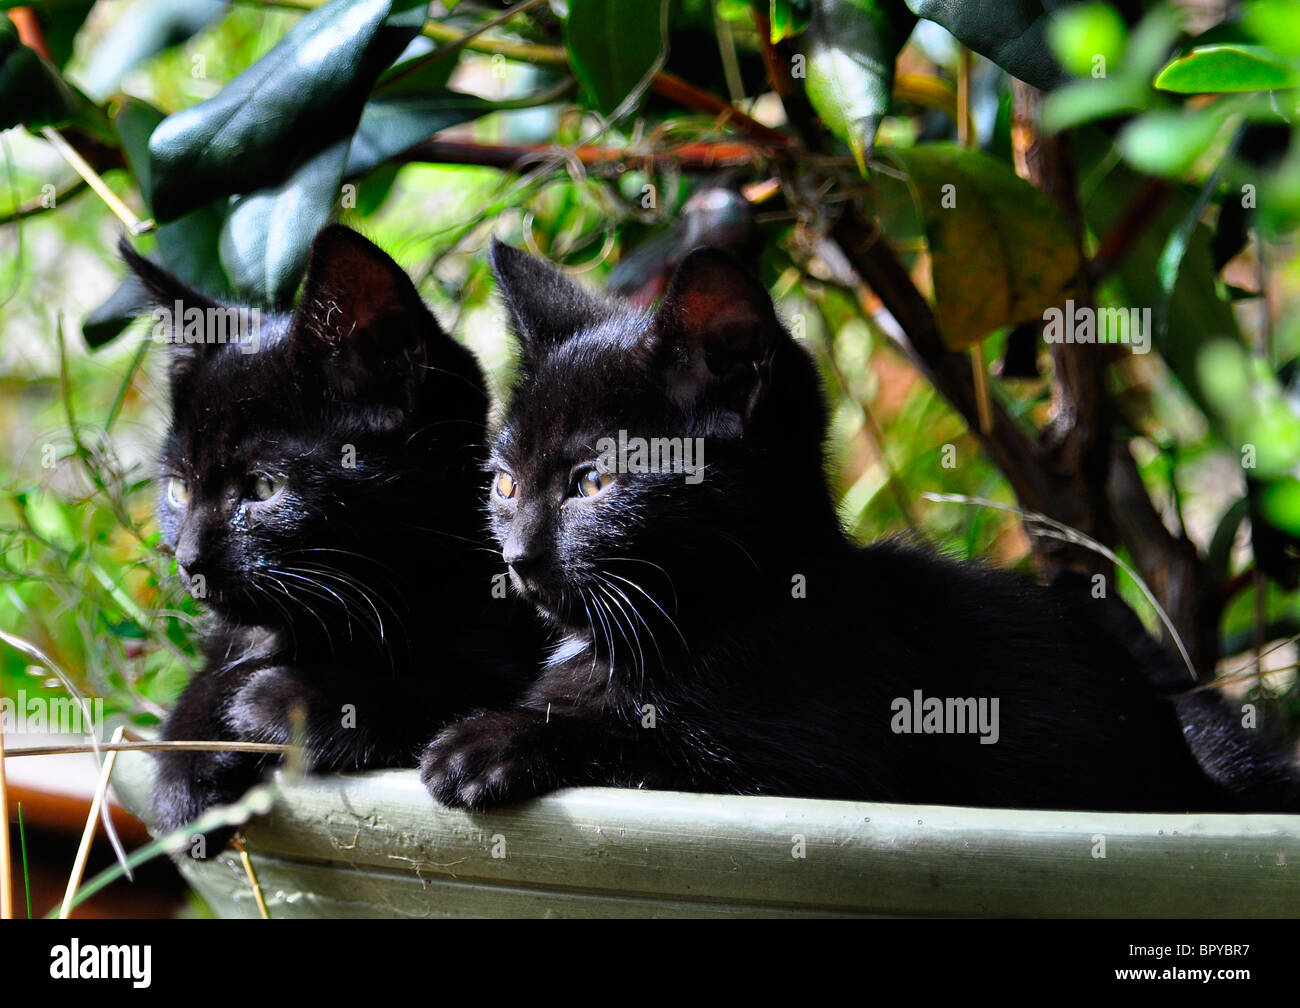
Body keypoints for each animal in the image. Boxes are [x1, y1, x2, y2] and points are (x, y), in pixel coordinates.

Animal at [125, 225, 538, 848]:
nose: (189, 559)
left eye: (263, 486)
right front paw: (185, 768)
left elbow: (441, 694)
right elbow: (214, 669)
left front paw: (275, 700)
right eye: (178, 489)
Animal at [421, 241, 1294, 811]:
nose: (516, 556)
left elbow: (658, 747)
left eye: (591, 484)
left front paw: (489, 744)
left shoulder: (823, 771)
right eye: (503, 483)